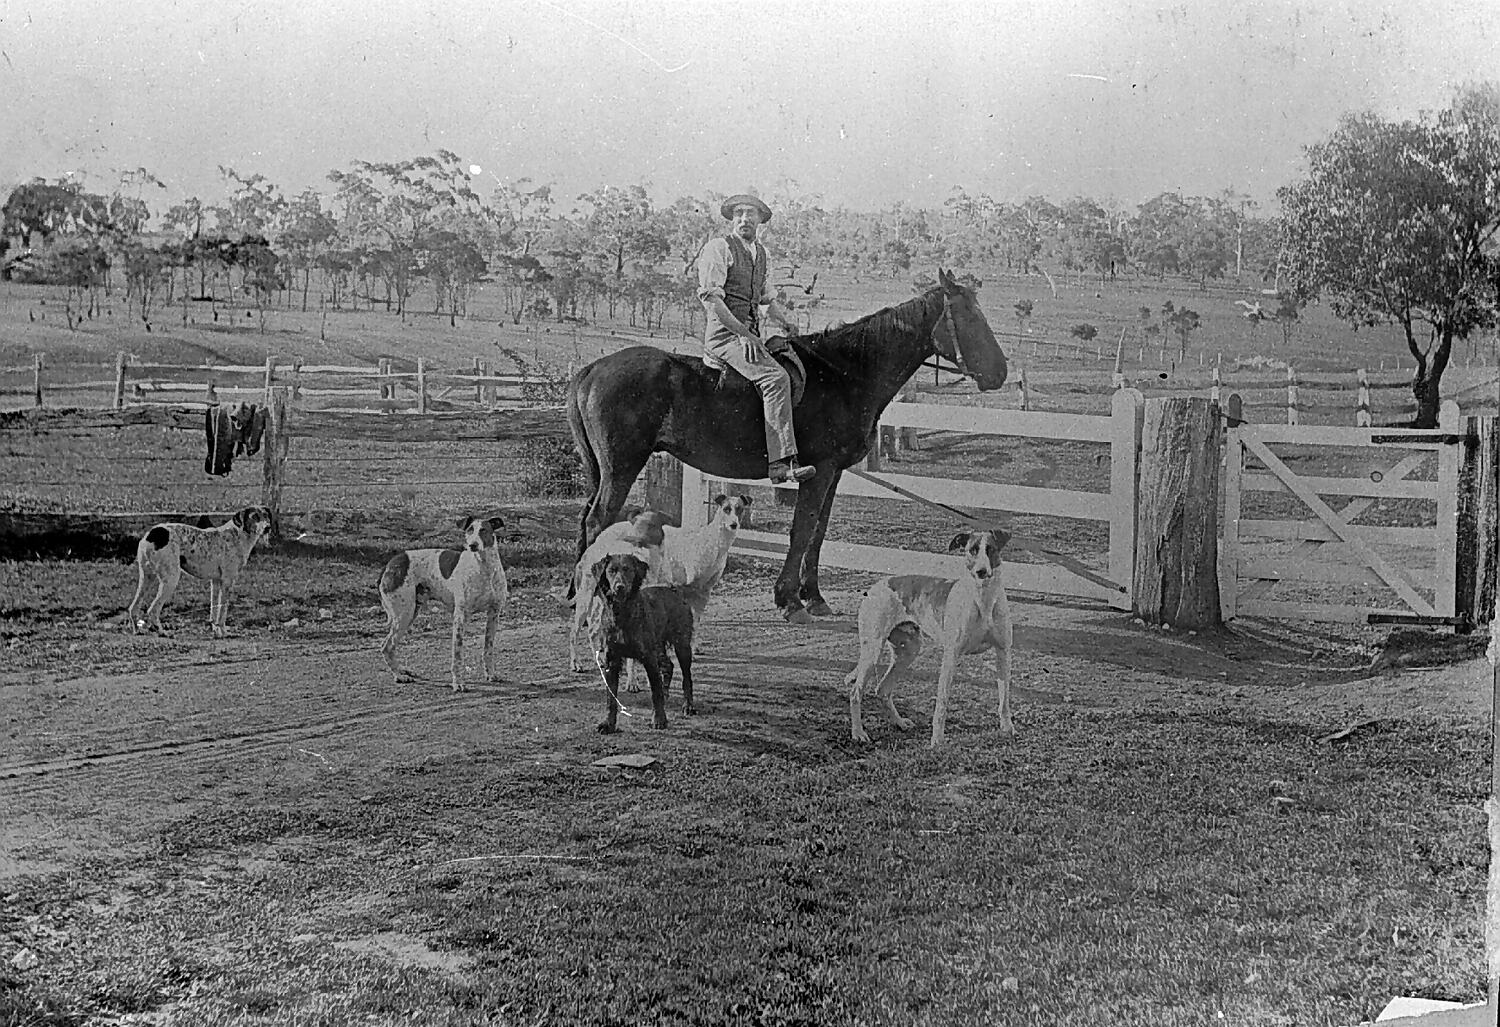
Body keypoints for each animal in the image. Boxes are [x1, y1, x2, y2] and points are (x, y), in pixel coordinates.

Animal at [128, 503, 273, 635]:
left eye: (266, 515)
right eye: (254, 517)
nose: (268, 528)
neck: (238, 534)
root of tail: (152, 534)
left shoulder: (216, 582)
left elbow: (214, 610)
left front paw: (216, 630)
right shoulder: (227, 582)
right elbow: (222, 611)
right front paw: (223, 631)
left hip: (146, 578)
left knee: (133, 608)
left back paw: (137, 630)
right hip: (171, 579)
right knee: (153, 610)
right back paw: (162, 631)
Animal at [378, 512, 513, 689]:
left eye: (484, 530)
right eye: (469, 530)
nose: (472, 545)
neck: (483, 567)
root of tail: (392, 563)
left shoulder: (493, 615)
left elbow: (487, 650)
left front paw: (490, 674)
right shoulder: (460, 617)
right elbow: (457, 655)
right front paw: (458, 683)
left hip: (410, 614)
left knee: (391, 646)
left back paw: (402, 671)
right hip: (404, 615)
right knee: (386, 646)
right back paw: (399, 676)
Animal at [567, 268, 1014, 620]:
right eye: (968, 316)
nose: (1000, 372)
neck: (845, 374)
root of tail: (591, 370)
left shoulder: (833, 474)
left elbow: (817, 533)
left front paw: (812, 596)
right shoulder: (818, 472)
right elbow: (801, 531)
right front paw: (788, 599)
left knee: (588, 517)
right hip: (621, 467)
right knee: (597, 520)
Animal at [591, 551, 696, 728]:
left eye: (628, 569)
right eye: (611, 571)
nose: (619, 587)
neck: (622, 614)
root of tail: (674, 590)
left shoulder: (648, 657)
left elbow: (655, 692)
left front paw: (659, 719)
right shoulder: (611, 659)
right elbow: (611, 698)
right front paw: (608, 724)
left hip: (681, 645)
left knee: (687, 678)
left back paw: (688, 706)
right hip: (658, 647)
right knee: (668, 665)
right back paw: (667, 693)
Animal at [846, 527, 1020, 743]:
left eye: (991, 549)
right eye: (972, 550)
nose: (981, 572)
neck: (983, 599)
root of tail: (877, 586)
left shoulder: (1003, 652)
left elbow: (1004, 698)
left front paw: (1007, 728)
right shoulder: (951, 656)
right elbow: (942, 704)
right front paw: (937, 740)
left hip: (908, 651)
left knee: (883, 690)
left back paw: (900, 722)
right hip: (873, 651)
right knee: (856, 692)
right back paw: (858, 732)